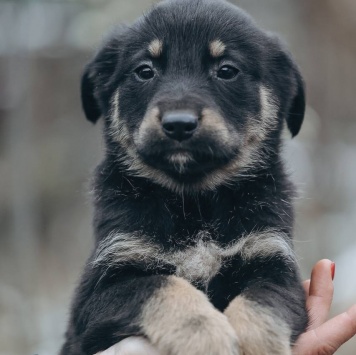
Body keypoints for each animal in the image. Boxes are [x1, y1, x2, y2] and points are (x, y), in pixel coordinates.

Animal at [59, 0, 308, 355]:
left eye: (227, 70)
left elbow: (262, 305)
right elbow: (163, 286)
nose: (178, 124)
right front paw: (207, 337)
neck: (194, 200)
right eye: (145, 71)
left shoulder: (274, 265)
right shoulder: (101, 292)